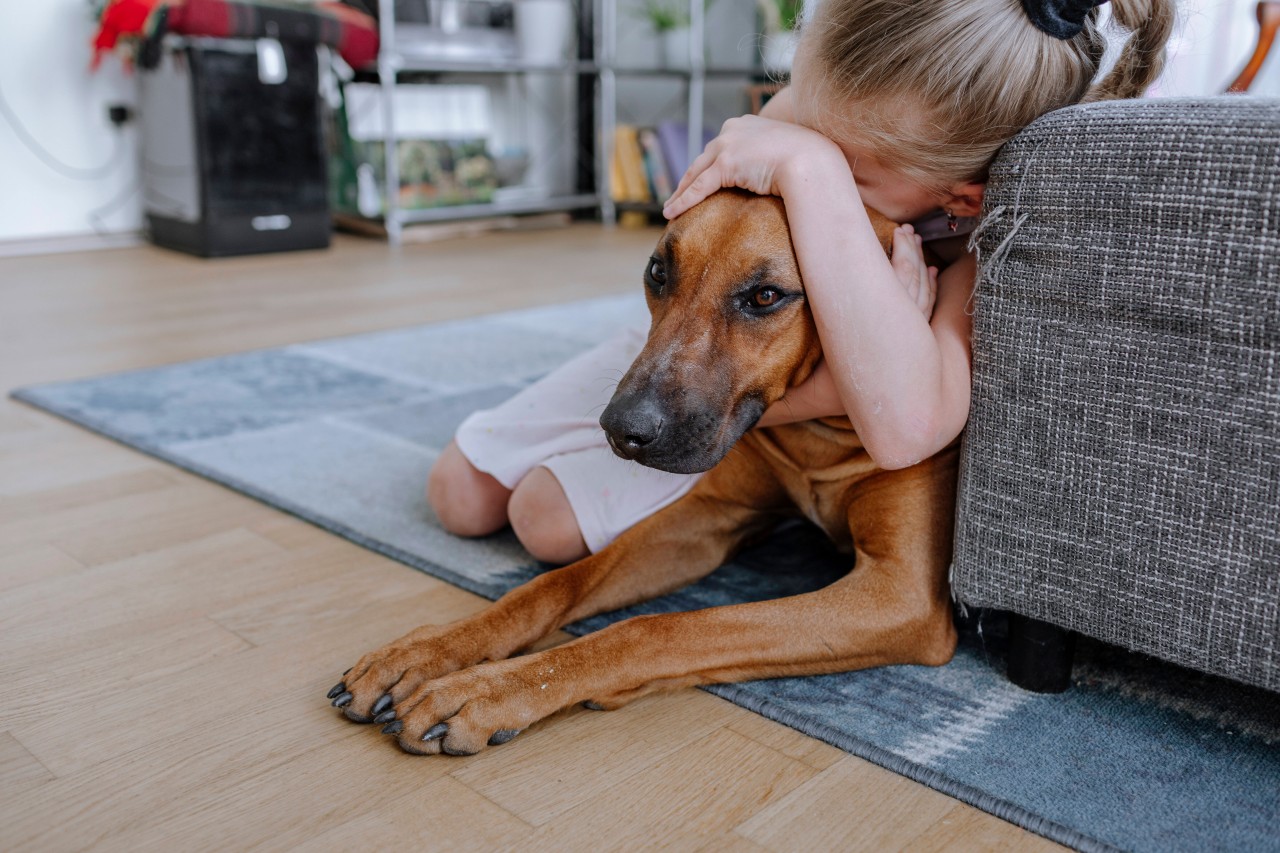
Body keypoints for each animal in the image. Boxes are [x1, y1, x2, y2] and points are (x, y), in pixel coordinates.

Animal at [330, 189, 962, 753]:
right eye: (659, 272)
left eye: (765, 296)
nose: (621, 429)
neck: (821, 439)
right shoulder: (707, 517)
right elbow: (551, 584)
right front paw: (425, 653)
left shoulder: (897, 593)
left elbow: (658, 627)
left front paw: (486, 692)